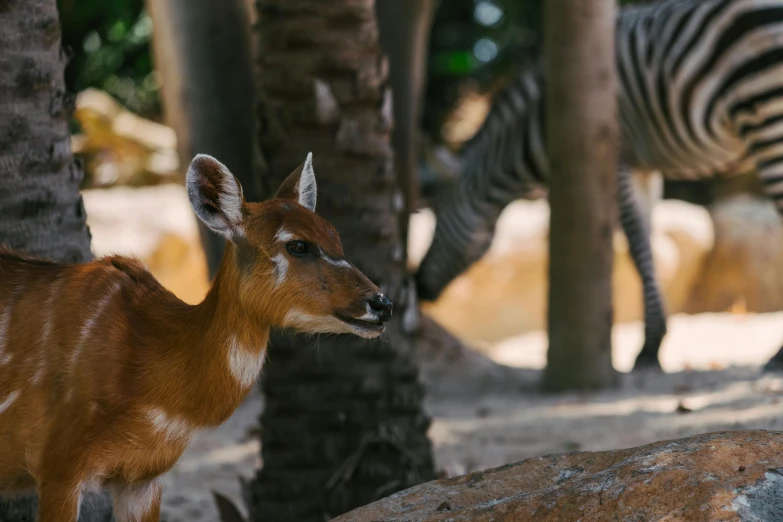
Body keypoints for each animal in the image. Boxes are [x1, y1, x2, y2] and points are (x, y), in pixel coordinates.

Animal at [420, 0, 783, 372]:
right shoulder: (644, 166)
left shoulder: (616, 155)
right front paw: (655, 339)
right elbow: (648, 240)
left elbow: (637, 245)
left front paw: (649, 347)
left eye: (435, 214)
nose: (420, 287)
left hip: (766, 112)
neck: (536, 125)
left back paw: (779, 355)